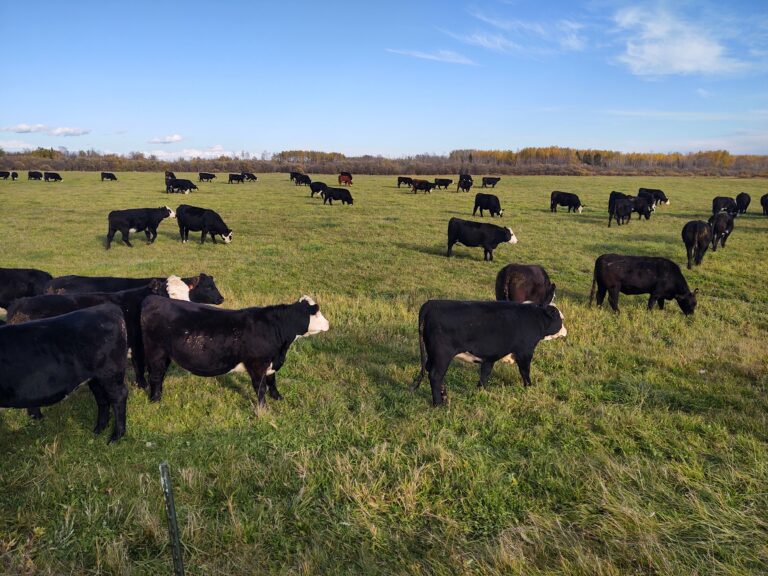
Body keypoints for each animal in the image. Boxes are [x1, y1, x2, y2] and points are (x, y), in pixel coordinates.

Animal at [0, 303, 129, 442]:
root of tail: (107, 307)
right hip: (95, 378)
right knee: (102, 399)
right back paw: (98, 430)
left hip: (110, 373)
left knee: (119, 397)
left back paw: (116, 436)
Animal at [7, 276, 190, 390]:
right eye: (169, 295)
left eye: (188, 295)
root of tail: (19, 304)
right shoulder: (138, 344)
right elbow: (139, 366)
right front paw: (142, 386)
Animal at [140, 295, 329, 405]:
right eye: (317, 312)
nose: (328, 323)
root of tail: (154, 299)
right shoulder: (257, 364)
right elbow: (260, 388)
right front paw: (263, 410)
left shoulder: (271, 363)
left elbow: (272, 382)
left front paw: (278, 398)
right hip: (156, 351)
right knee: (155, 376)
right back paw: (155, 401)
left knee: (160, 375)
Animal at [410, 300, 566, 405]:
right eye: (561, 319)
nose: (566, 331)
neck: (533, 318)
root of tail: (432, 303)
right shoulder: (525, 352)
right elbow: (525, 372)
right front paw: (529, 387)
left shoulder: (490, 356)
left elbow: (485, 374)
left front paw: (481, 391)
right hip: (442, 355)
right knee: (435, 375)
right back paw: (438, 403)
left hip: (432, 354)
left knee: (431, 371)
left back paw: (444, 397)